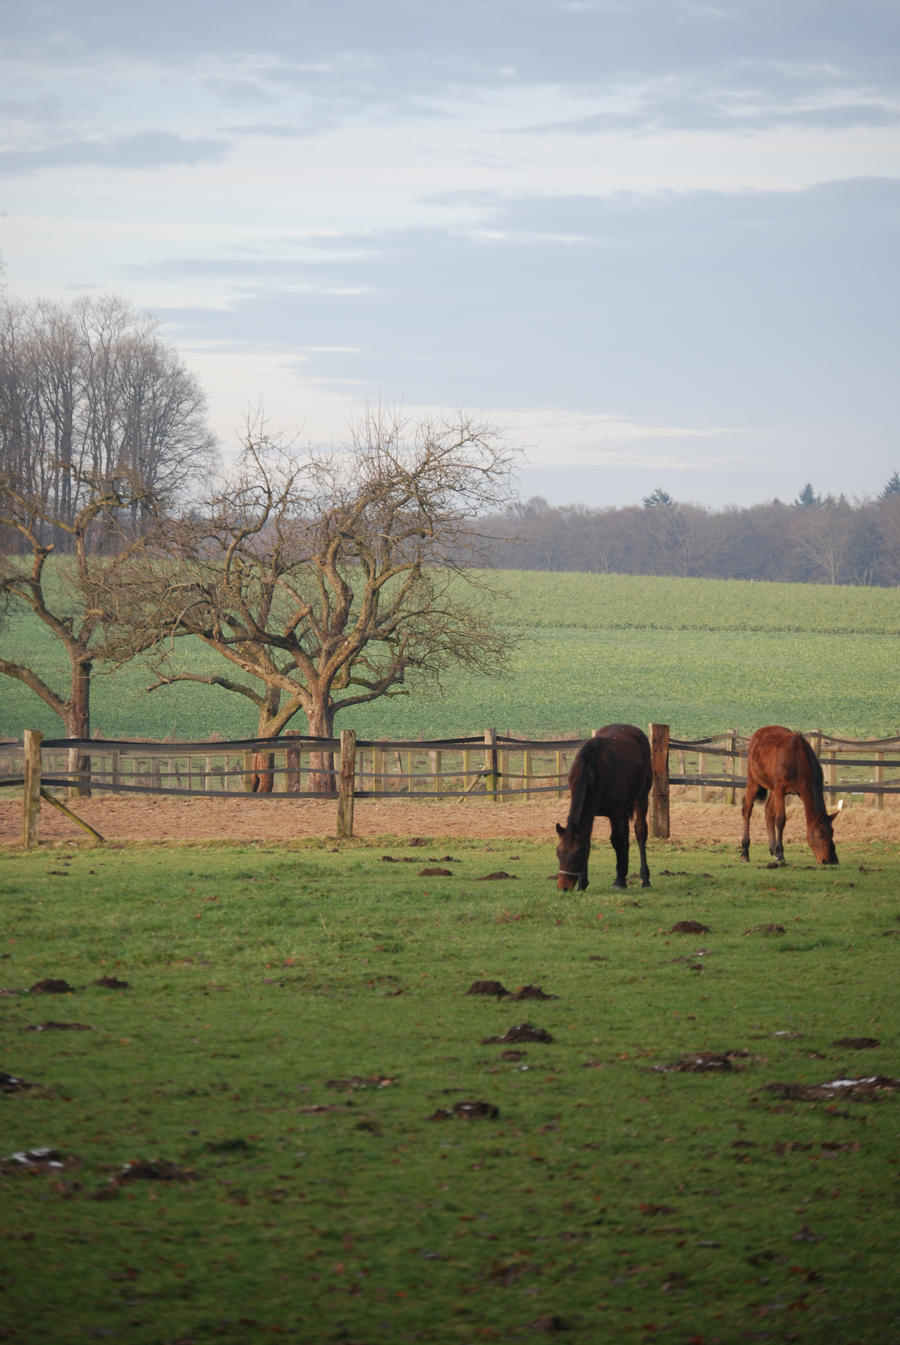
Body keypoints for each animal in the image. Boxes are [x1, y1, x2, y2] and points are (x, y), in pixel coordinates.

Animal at [551, 726, 648, 893]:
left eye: (577, 854)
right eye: (558, 852)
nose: (563, 887)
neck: (591, 771)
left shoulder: (615, 812)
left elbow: (617, 840)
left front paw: (619, 881)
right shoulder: (591, 812)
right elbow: (589, 841)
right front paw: (582, 884)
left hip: (641, 797)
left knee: (640, 832)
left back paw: (644, 878)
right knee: (626, 835)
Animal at [742, 731, 839, 866]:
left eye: (832, 833)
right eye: (820, 835)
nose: (827, 860)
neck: (798, 761)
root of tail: (757, 734)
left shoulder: (797, 792)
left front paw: (777, 852)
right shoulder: (780, 789)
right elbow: (781, 819)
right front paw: (780, 853)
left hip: (772, 788)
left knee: (768, 811)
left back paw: (772, 850)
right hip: (754, 781)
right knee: (747, 810)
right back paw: (745, 851)